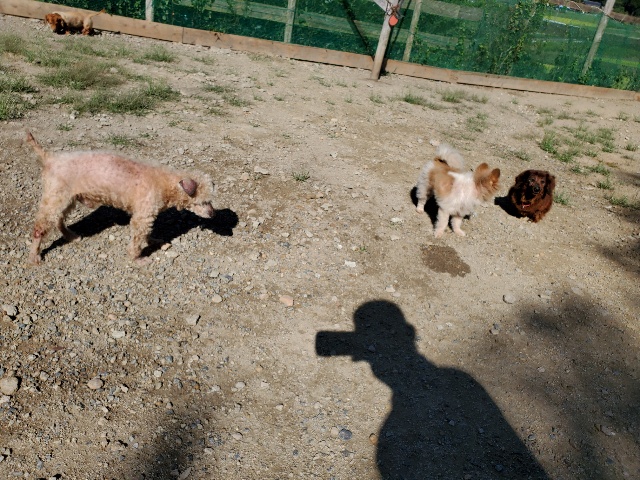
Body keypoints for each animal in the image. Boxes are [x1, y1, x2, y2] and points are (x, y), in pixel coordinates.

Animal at [26, 131, 216, 265]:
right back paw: (34, 256)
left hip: (67, 199)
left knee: (58, 219)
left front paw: (154, 241)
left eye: (210, 201)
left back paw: (71, 236)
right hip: (56, 197)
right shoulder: (143, 216)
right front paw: (137, 259)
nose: (213, 214)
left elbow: (147, 234)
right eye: (204, 201)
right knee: (40, 228)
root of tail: (50, 158)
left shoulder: (145, 216)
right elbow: (137, 239)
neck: (166, 183)